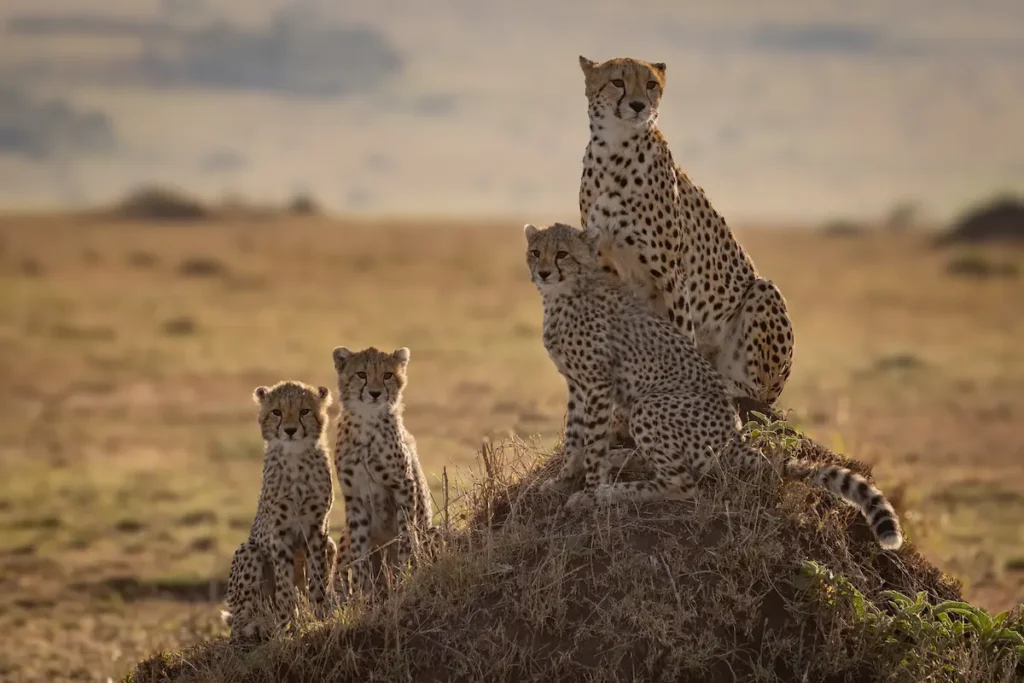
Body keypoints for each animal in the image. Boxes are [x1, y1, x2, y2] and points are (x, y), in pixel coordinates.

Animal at [221, 380, 338, 639]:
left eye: (304, 411)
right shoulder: (278, 531)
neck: (296, 459)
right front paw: (287, 624)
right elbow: (285, 583)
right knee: (239, 619)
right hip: (249, 551)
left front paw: (320, 617)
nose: (290, 430)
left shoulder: (317, 529)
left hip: (331, 545)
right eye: (277, 412)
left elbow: (317, 577)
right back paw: (256, 625)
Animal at [332, 345, 434, 599]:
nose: (376, 393)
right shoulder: (354, 497)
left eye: (388, 375)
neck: (367, 423)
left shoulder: (403, 486)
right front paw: (361, 591)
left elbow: (406, 535)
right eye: (361, 374)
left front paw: (406, 572)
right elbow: (358, 550)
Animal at [524, 221, 902, 550]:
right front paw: (562, 479)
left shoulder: (598, 384)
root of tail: (732, 434)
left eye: (562, 254)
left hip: (651, 406)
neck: (566, 294)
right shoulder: (577, 384)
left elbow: (593, 445)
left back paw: (613, 492)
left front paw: (590, 491)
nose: (542, 272)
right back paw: (623, 459)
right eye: (535, 252)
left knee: (683, 485)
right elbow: (575, 437)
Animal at [577, 55, 795, 421]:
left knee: (756, 394)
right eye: (618, 81)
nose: (639, 105)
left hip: (763, 294)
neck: (615, 152)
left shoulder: (671, 275)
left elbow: (681, 331)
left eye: (651, 84)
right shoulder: (606, 267)